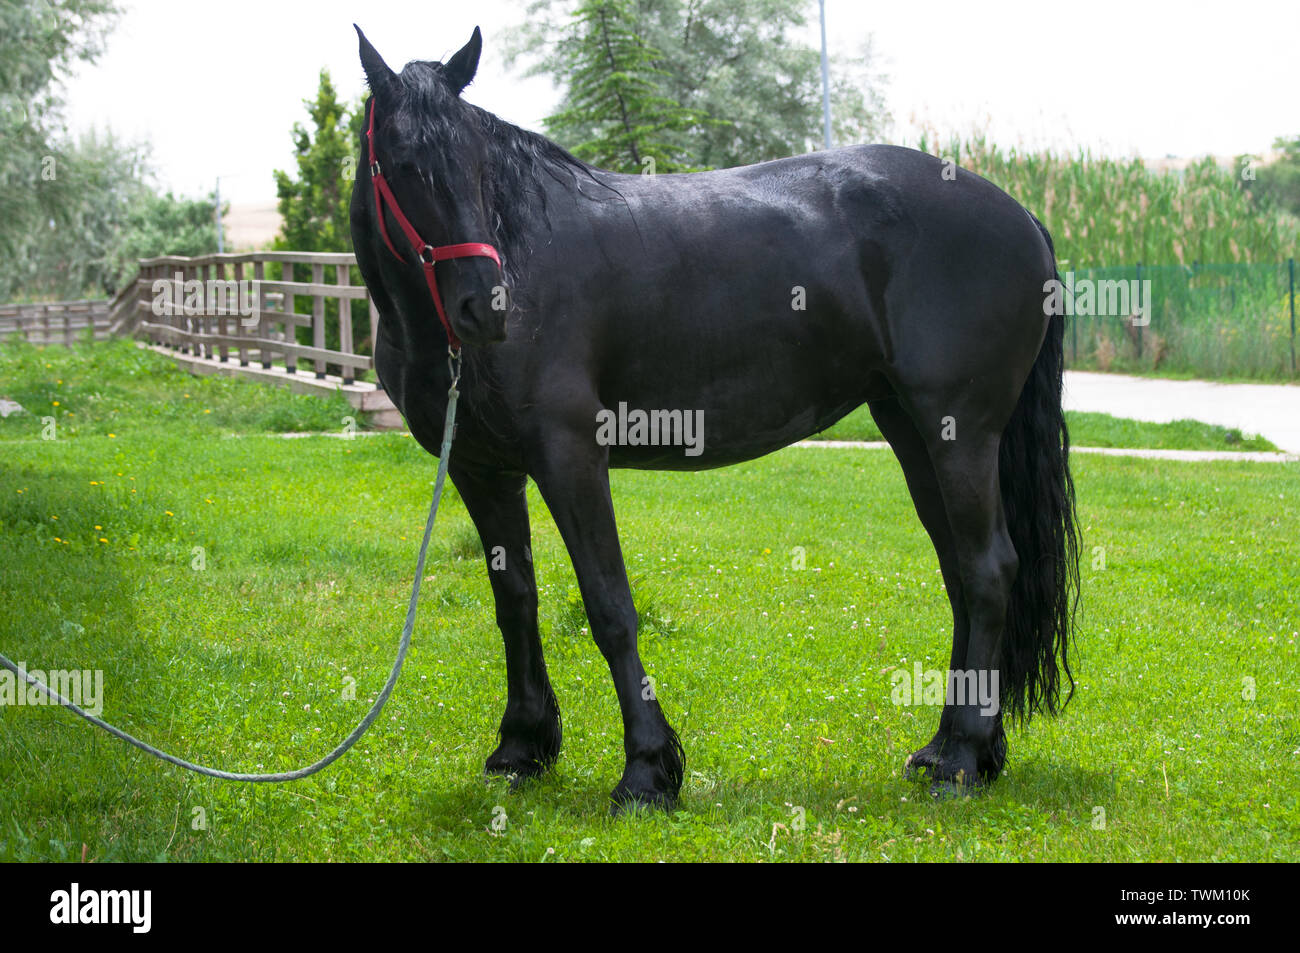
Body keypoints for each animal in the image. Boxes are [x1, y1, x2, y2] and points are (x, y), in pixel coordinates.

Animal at [348, 25, 1081, 811]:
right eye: (404, 164)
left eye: (479, 166)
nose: (486, 307)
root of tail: (1020, 215)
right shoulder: (482, 469)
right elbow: (516, 599)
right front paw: (521, 746)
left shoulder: (570, 455)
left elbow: (608, 603)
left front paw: (647, 770)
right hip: (914, 432)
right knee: (960, 574)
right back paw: (947, 746)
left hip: (961, 435)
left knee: (988, 569)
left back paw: (965, 758)